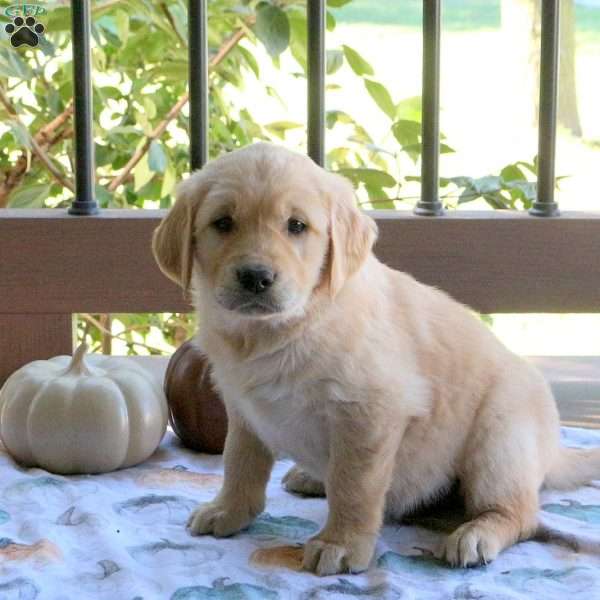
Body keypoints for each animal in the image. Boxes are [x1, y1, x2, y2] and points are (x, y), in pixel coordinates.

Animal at [152, 142, 600, 576]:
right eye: (223, 223)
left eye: (296, 226)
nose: (256, 277)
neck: (280, 331)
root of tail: (550, 454)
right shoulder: (245, 410)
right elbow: (239, 462)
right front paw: (228, 511)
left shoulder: (368, 413)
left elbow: (354, 485)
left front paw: (340, 543)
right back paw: (311, 476)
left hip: (500, 440)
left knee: (521, 514)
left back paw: (475, 534)